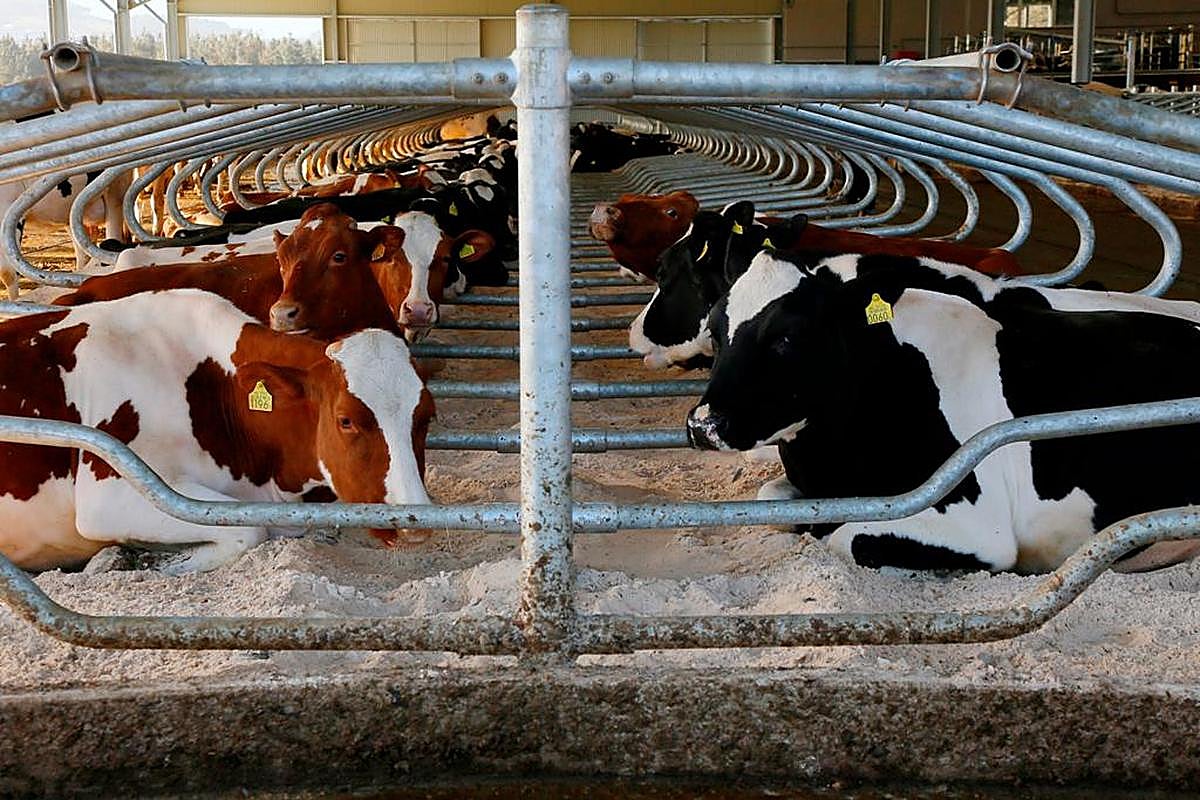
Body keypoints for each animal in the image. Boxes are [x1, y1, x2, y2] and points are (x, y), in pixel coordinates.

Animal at [0, 289, 434, 574]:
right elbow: (250, 531)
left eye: (426, 415)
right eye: (346, 419)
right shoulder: (110, 493)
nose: (415, 522)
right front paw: (145, 561)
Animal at [686, 249, 1200, 574]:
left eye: (786, 337)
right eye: (715, 330)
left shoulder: (982, 531)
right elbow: (772, 502)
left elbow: (846, 537)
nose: (703, 424)